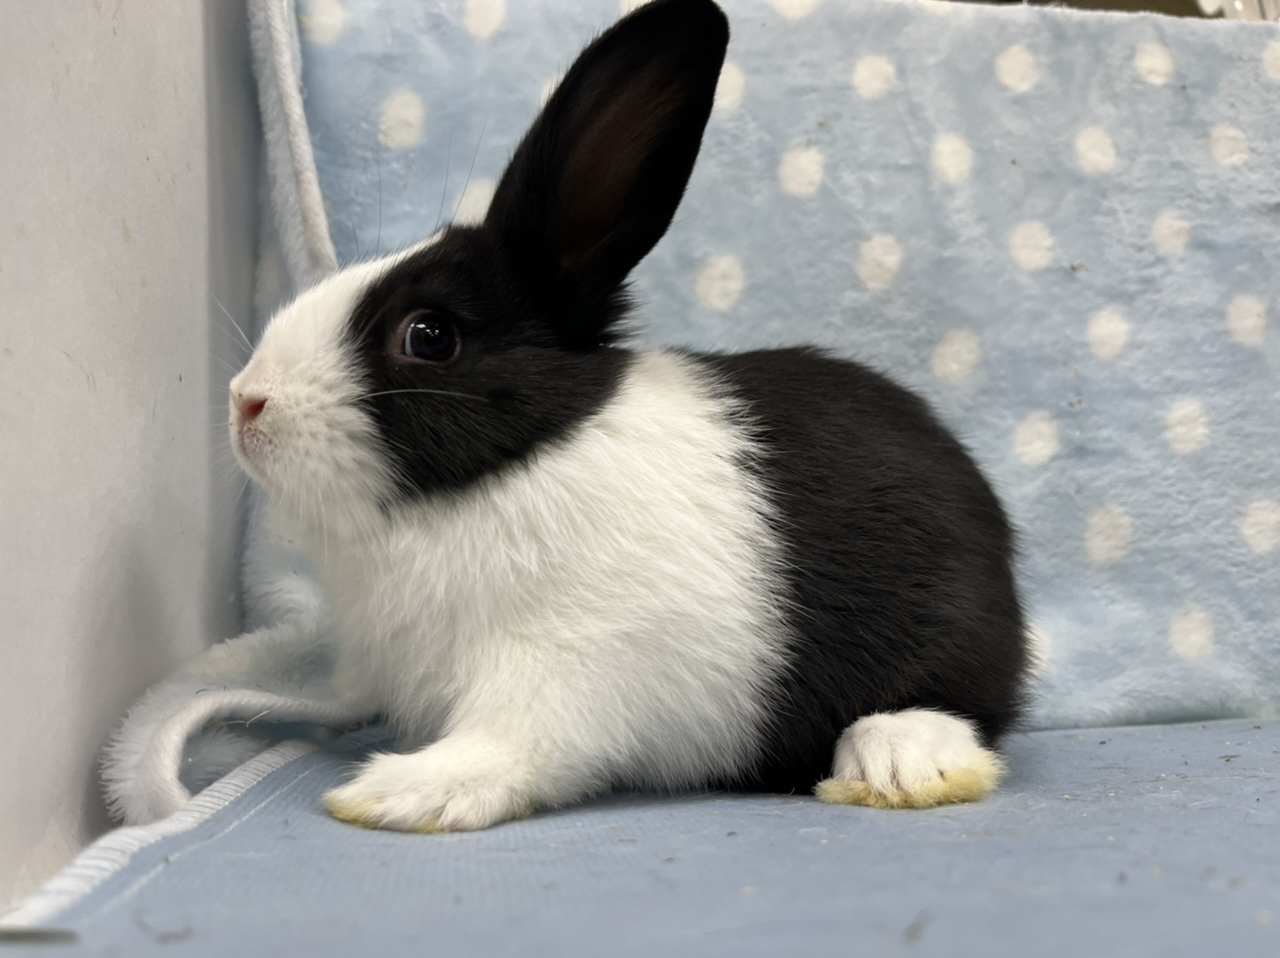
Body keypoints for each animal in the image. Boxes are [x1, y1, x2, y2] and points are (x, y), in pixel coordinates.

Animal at [228, 0, 1028, 833]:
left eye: (429, 336)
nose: (247, 401)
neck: (506, 471)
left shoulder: (562, 664)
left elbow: (512, 745)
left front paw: (397, 793)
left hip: (945, 634)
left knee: (954, 713)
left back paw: (896, 766)